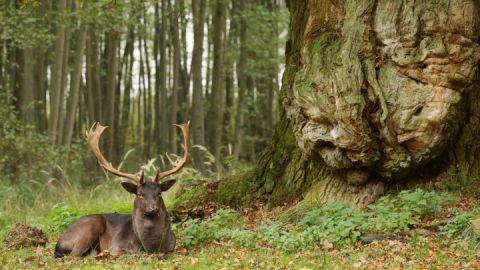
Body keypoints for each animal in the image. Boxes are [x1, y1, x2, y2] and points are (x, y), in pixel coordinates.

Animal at [52, 121, 188, 256]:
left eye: (159, 193)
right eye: (139, 194)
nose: (152, 208)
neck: (151, 247)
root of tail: (58, 243)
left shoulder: (172, 247)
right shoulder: (116, 247)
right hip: (89, 227)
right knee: (73, 255)